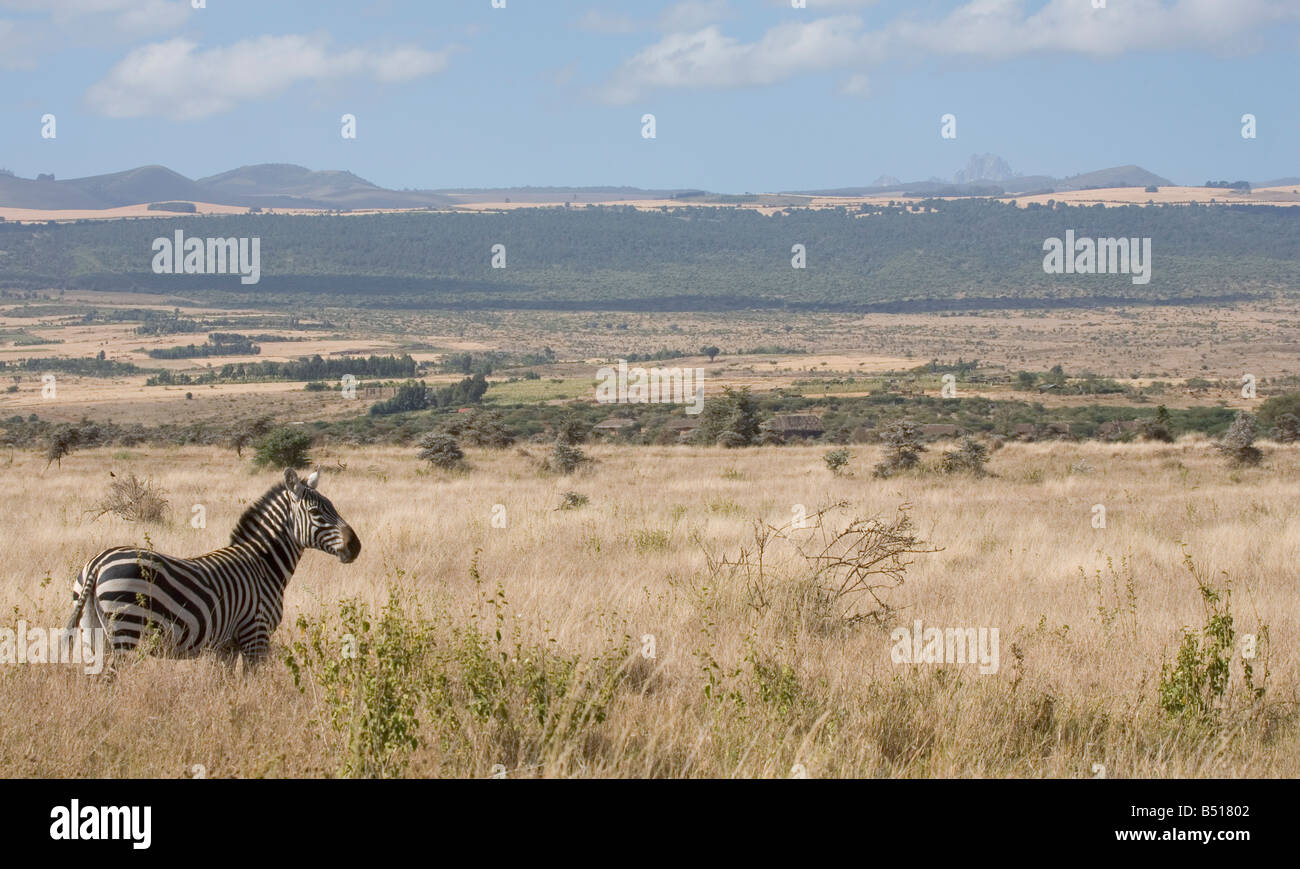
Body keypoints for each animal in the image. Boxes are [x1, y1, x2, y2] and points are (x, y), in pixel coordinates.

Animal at [64, 468, 360, 670]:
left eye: (333, 507)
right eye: (316, 513)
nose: (355, 546)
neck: (263, 565)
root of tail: (99, 561)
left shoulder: (225, 647)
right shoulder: (255, 635)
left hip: (93, 632)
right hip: (127, 629)